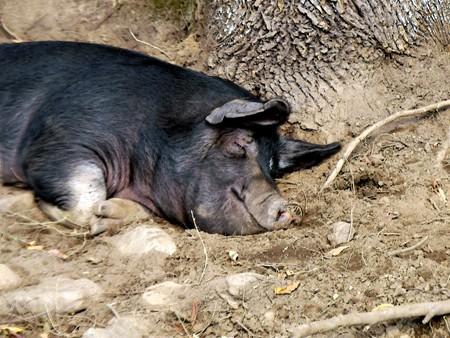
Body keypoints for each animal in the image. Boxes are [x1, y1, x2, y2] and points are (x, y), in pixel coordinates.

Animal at [0, 41, 340, 235]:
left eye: (274, 168)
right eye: (238, 143)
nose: (290, 208)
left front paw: (109, 214)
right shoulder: (60, 139)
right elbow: (83, 199)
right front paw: (91, 215)